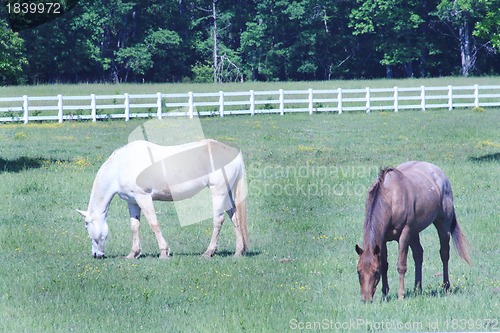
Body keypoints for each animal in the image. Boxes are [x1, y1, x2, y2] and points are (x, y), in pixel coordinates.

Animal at [77, 139, 248, 258]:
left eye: (86, 226)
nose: (96, 255)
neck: (120, 167)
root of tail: (233, 152)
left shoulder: (143, 197)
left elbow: (153, 223)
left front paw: (164, 252)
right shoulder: (132, 202)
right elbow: (135, 226)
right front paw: (133, 253)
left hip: (218, 193)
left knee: (218, 220)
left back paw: (208, 252)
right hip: (226, 194)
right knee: (235, 217)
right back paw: (238, 251)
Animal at [356, 160, 468, 302]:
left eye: (375, 272)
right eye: (358, 271)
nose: (366, 299)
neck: (391, 198)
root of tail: (441, 174)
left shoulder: (404, 234)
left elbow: (401, 266)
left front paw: (400, 295)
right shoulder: (383, 240)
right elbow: (385, 265)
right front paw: (385, 294)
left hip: (442, 225)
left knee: (444, 254)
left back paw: (446, 286)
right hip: (414, 232)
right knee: (418, 254)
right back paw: (417, 289)